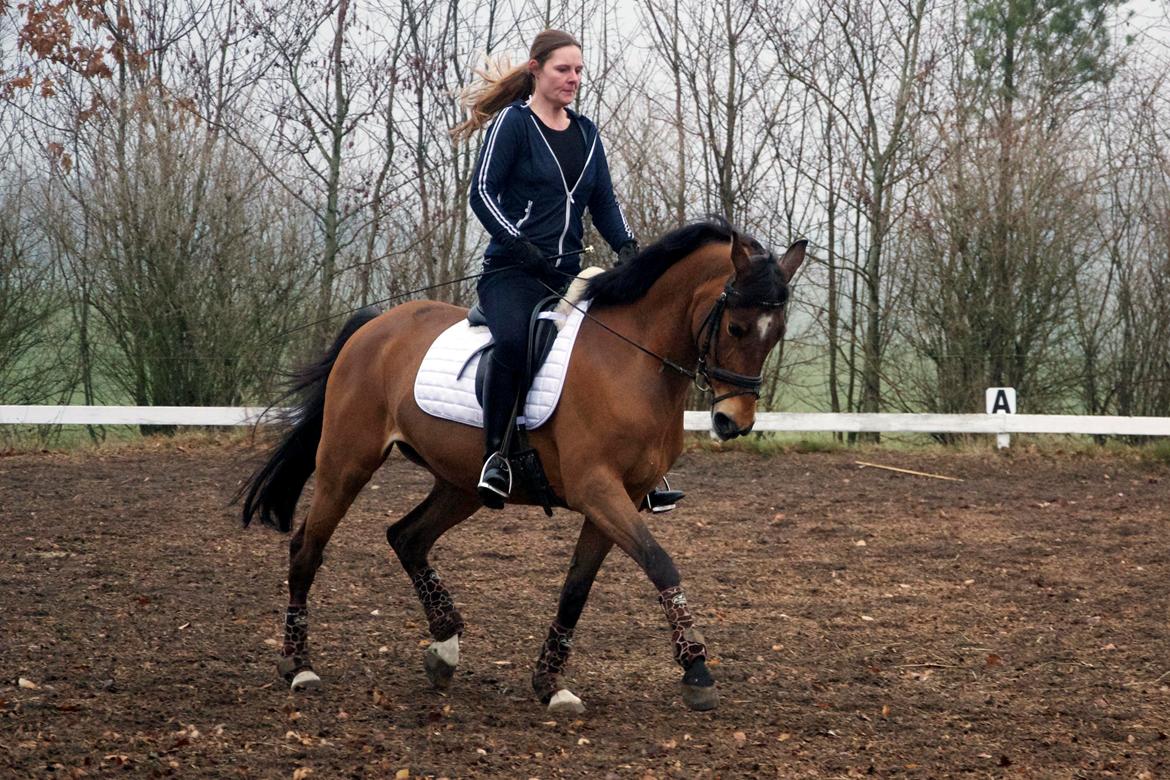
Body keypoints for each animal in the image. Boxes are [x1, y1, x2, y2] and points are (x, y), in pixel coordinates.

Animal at [240, 217, 806, 714]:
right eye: (736, 326)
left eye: (776, 333)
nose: (733, 421)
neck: (632, 360)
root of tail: (374, 326)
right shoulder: (597, 490)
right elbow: (660, 561)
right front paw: (697, 672)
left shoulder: (618, 497)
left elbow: (576, 589)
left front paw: (550, 684)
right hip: (347, 462)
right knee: (307, 548)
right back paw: (299, 667)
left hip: (459, 484)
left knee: (407, 537)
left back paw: (444, 650)